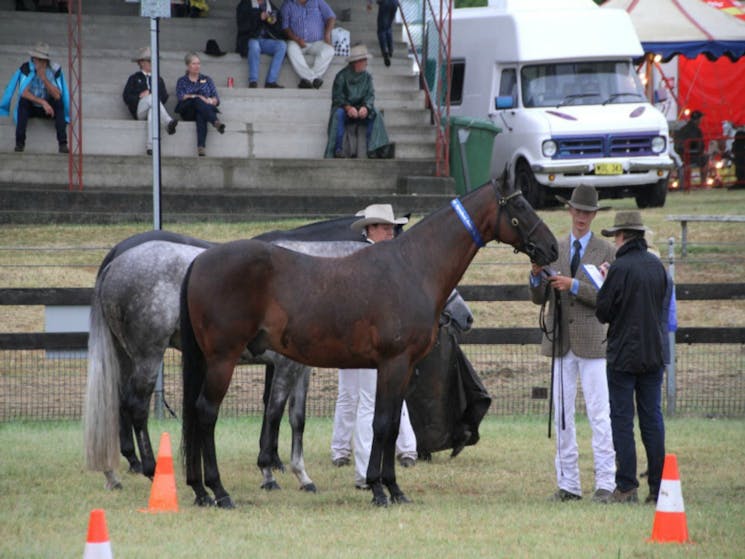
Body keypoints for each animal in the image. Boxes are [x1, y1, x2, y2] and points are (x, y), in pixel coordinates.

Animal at [177, 177, 556, 510]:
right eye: (520, 205)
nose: (551, 247)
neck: (412, 267)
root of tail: (199, 260)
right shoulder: (393, 364)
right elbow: (382, 424)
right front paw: (378, 489)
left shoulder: (403, 369)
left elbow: (390, 425)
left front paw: (393, 489)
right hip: (222, 359)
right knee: (206, 413)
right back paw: (219, 491)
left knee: (197, 415)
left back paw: (199, 490)